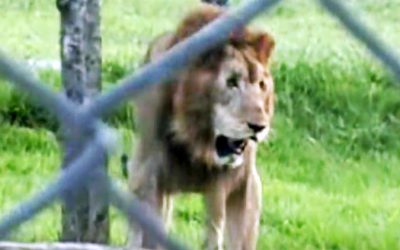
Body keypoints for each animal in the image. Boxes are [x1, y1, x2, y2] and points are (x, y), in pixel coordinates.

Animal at [128, 3, 276, 250]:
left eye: (261, 85)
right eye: (231, 82)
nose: (259, 127)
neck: (198, 142)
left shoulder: (242, 184)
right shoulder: (150, 176)